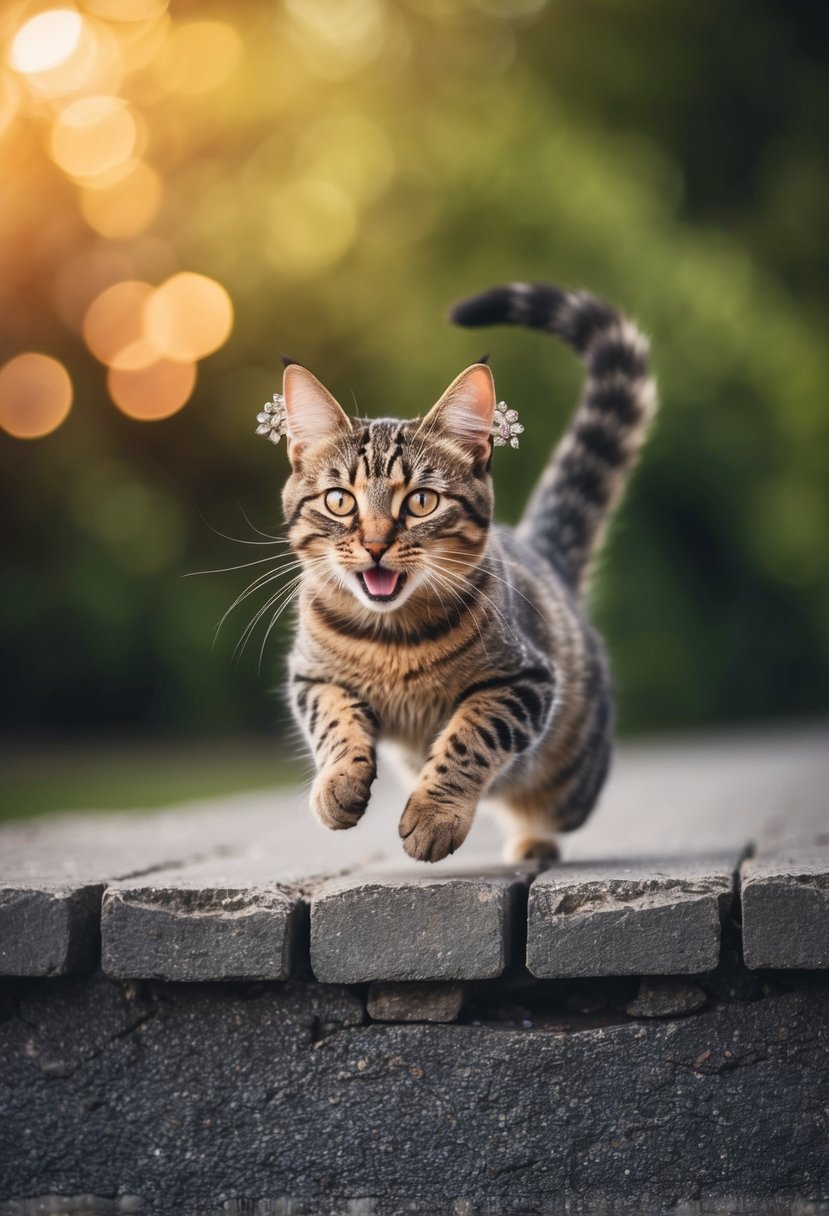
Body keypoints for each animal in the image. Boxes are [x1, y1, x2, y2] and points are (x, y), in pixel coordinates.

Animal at [280, 279, 656, 860]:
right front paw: (338, 783)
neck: (392, 640)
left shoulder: (525, 679)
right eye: (340, 500)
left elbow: (472, 735)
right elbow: (334, 721)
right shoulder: (311, 675)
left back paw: (533, 841)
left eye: (422, 502)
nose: (375, 544)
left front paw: (434, 815)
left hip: (572, 783)